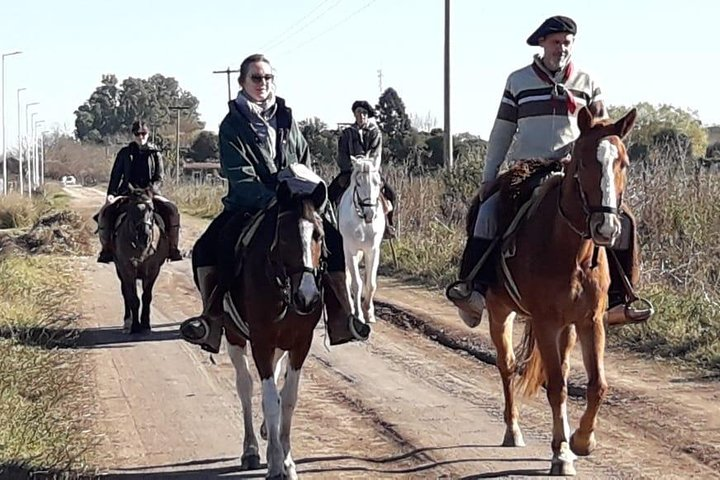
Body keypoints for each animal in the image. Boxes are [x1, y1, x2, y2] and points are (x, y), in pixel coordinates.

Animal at [112, 187, 169, 334]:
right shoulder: (127, 271)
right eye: (131, 209)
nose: (144, 236)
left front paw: (145, 323)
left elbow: (146, 296)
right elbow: (133, 298)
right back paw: (127, 320)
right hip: (120, 271)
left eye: (151, 208)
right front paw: (135, 326)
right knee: (125, 292)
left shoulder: (153, 271)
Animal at [222, 166, 330, 480]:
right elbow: (270, 400)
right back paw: (251, 448)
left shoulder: (300, 342)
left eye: (318, 235)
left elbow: (288, 399)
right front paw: (275, 463)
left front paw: (287, 460)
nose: (307, 297)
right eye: (283, 238)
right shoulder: (261, 341)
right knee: (245, 386)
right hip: (234, 336)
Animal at [476, 107, 640, 474]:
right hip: (500, 312)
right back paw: (513, 429)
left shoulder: (590, 321)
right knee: (507, 366)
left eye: (623, 162)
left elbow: (596, 385)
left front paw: (581, 440)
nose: (606, 227)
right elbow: (557, 389)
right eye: (582, 162)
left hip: (567, 327)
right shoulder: (545, 322)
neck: (571, 252)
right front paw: (561, 453)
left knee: (559, 370)